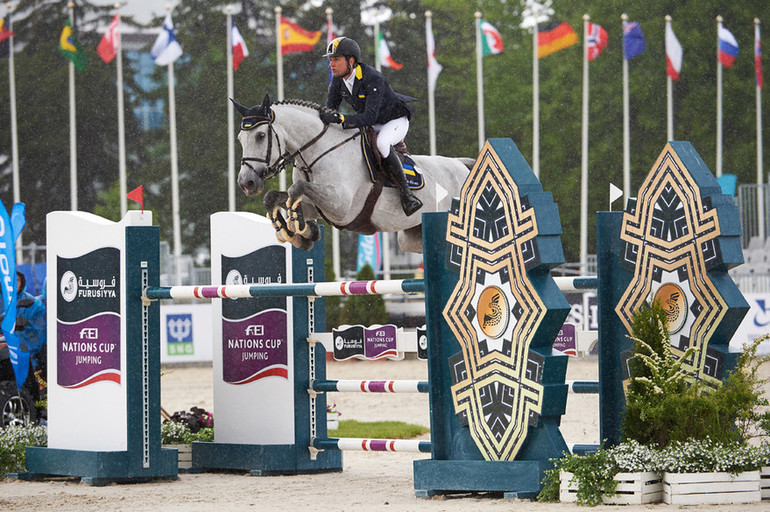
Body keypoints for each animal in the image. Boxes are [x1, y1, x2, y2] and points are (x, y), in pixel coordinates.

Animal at [231, 95, 472, 253]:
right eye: (240, 139)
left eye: (261, 135)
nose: (246, 183)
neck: (315, 153)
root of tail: (462, 165)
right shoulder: (318, 207)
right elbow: (274, 197)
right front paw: (300, 234)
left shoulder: (341, 207)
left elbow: (295, 189)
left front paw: (298, 225)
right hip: (411, 237)